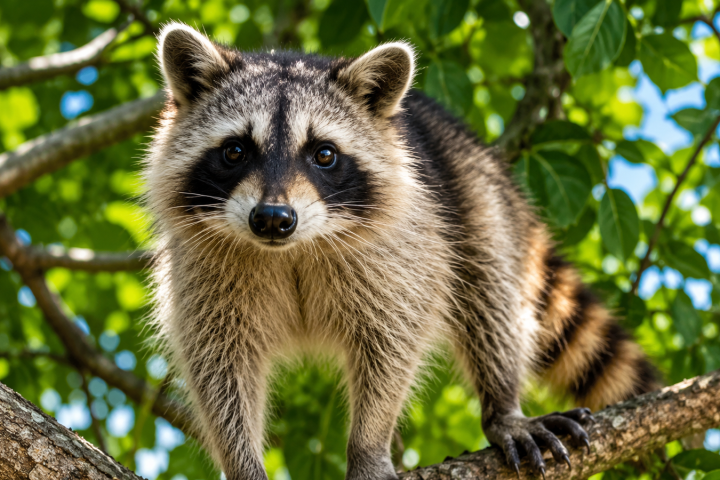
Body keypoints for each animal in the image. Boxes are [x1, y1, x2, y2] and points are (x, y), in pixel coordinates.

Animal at [145, 22, 659, 480]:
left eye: (324, 154)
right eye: (235, 151)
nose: (272, 218)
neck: (291, 249)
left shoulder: (402, 252)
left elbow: (392, 344)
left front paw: (368, 447)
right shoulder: (202, 268)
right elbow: (219, 365)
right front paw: (243, 463)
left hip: (476, 196)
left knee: (490, 297)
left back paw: (502, 406)